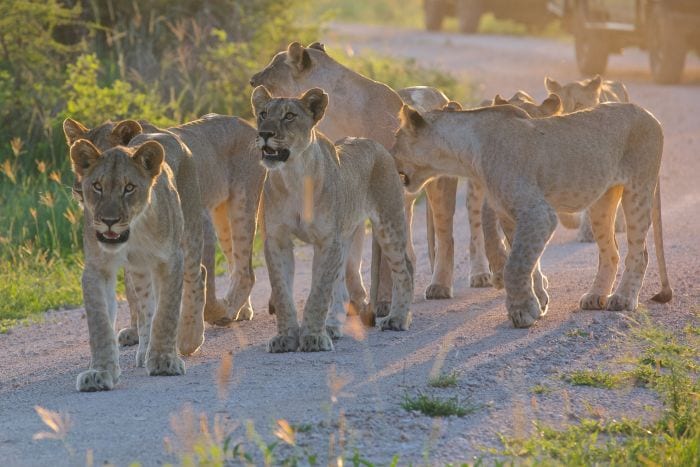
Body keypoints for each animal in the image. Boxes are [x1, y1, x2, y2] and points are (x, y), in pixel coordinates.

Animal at [63, 114, 266, 332]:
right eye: (80, 163)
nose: (79, 191)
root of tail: (245, 122)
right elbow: (132, 288)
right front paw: (136, 329)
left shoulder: (201, 221)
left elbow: (203, 279)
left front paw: (209, 314)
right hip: (222, 218)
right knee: (234, 265)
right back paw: (242, 310)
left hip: (241, 206)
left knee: (246, 272)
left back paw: (228, 310)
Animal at [69, 138, 193, 392]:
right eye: (97, 186)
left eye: (129, 188)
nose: (109, 221)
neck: (134, 232)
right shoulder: (97, 268)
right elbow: (100, 323)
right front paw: (99, 372)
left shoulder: (171, 260)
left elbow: (166, 313)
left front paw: (164, 360)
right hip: (139, 272)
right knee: (146, 311)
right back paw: (144, 351)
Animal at [250, 42, 470, 310]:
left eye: (272, 66)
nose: (252, 80)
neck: (337, 117)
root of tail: (442, 95)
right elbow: (351, 257)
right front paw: (354, 299)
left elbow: (381, 261)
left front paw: (381, 301)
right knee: (409, 251)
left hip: (438, 187)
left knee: (445, 237)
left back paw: (439, 287)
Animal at [253, 85, 412, 352]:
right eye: (263, 113)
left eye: (289, 116)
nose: (264, 133)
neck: (294, 176)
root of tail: (375, 144)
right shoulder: (277, 240)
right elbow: (283, 291)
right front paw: (286, 337)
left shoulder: (327, 240)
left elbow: (318, 291)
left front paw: (313, 337)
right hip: (347, 235)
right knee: (341, 285)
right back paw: (332, 326)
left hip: (388, 225)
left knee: (404, 271)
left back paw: (398, 319)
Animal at [394, 102, 672, 330]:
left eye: (395, 139)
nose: (389, 155)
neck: (464, 153)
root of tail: (649, 113)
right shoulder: (510, 215)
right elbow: (529, 262)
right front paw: (538, 301)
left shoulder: (537, 212)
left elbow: (515, 265)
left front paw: (522, 312)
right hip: (601, 201)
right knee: (610, 252)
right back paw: (595, 296)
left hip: (638, 189)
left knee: (640, 253)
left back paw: (623, 299)